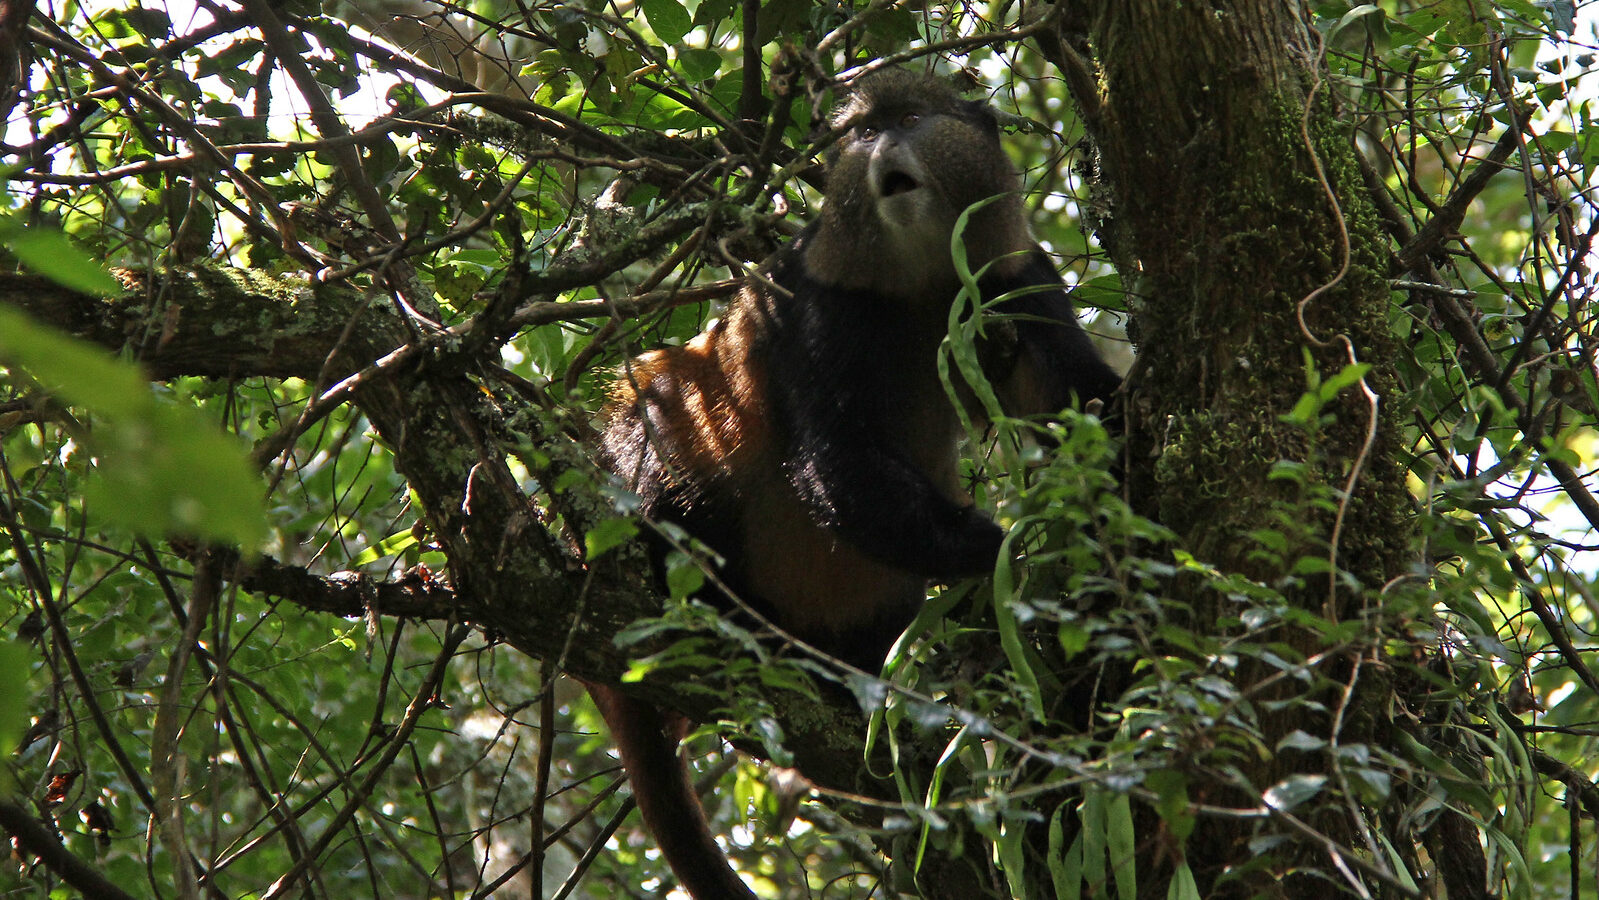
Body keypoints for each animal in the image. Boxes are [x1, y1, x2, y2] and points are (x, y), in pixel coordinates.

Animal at [591, 67, 1121, 900]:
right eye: (865, 132)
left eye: (910, 119)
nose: (882, 147)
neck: (921, 276)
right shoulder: (816, 302)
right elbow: (833, 463)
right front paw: (998, 554)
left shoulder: (1015, 278)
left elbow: (1068, 400)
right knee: (666, 415)